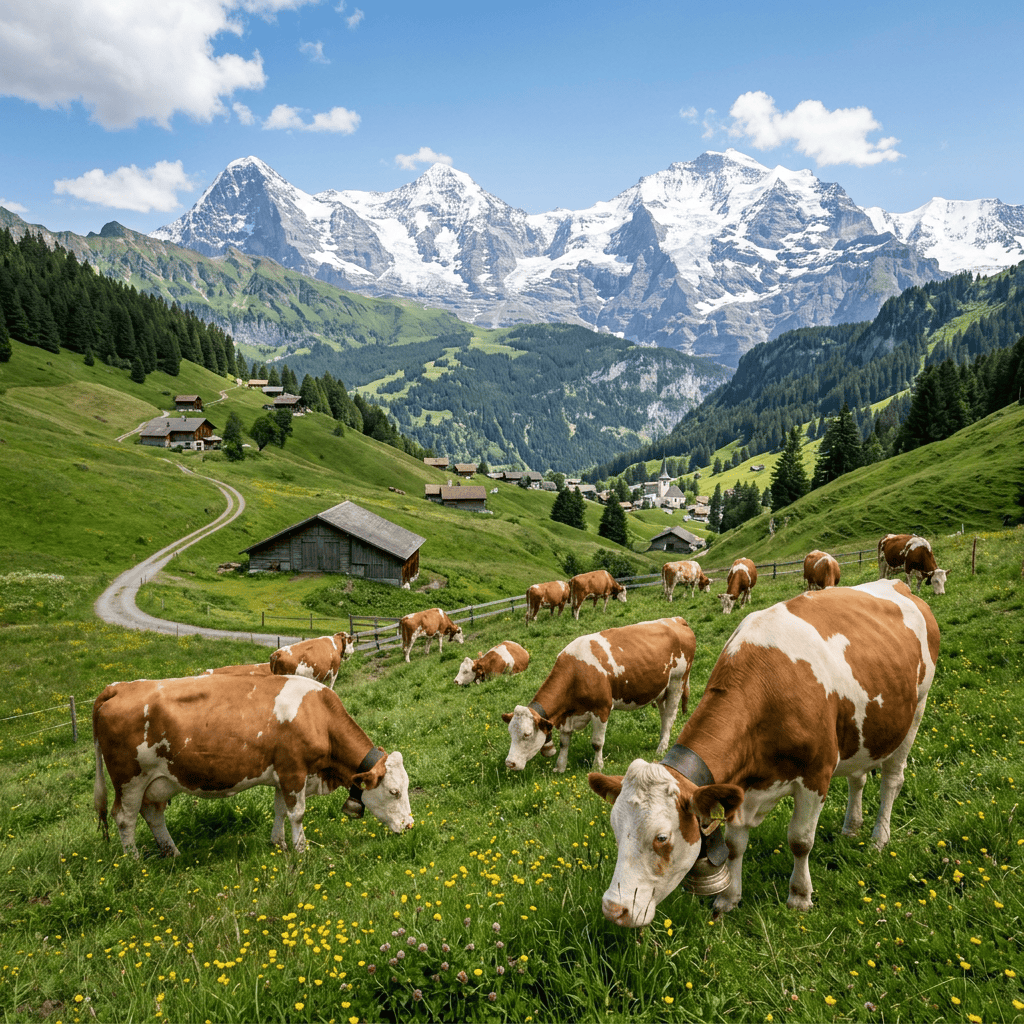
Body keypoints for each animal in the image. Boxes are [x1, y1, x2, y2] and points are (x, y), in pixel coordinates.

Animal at [92, 671, 414, 857]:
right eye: (394, 792)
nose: (410, 825)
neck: (319, 717)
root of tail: (117, 688)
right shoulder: (294, 770)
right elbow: (297, 814)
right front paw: (301, 851)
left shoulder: (284, 774)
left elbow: (280, 810)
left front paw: (278, 844)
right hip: (130, 779)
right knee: (125, 818)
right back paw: (134, 863)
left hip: (157, 782)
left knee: (153, 814)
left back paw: (173, 853)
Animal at [503, 617, 696, 774]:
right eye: (510, 732)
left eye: (527, 734)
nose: (509, 763)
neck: (576, 671)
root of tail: (676, 620)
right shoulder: (567, 716)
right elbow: (564, 742)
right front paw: (560, 767)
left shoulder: (601, 709)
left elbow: (597, 742)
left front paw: (598, 766)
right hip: (662, 690)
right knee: (664, 716)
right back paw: (662, 741)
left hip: (677, 682)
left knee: (670, 715)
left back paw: (661, 749)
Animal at [588, 579, 939, 928]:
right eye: (615, 828)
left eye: (661, 838)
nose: (613, 909)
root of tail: (897, 583)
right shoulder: (739, 788)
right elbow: (734, 846)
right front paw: (728, 898)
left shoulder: (816, 774)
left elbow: (800, 840)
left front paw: (799, 896)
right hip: (862, 732)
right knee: (858, 778)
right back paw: (851, 828)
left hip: (914, 713)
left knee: (891, 781)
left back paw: (879, 839)